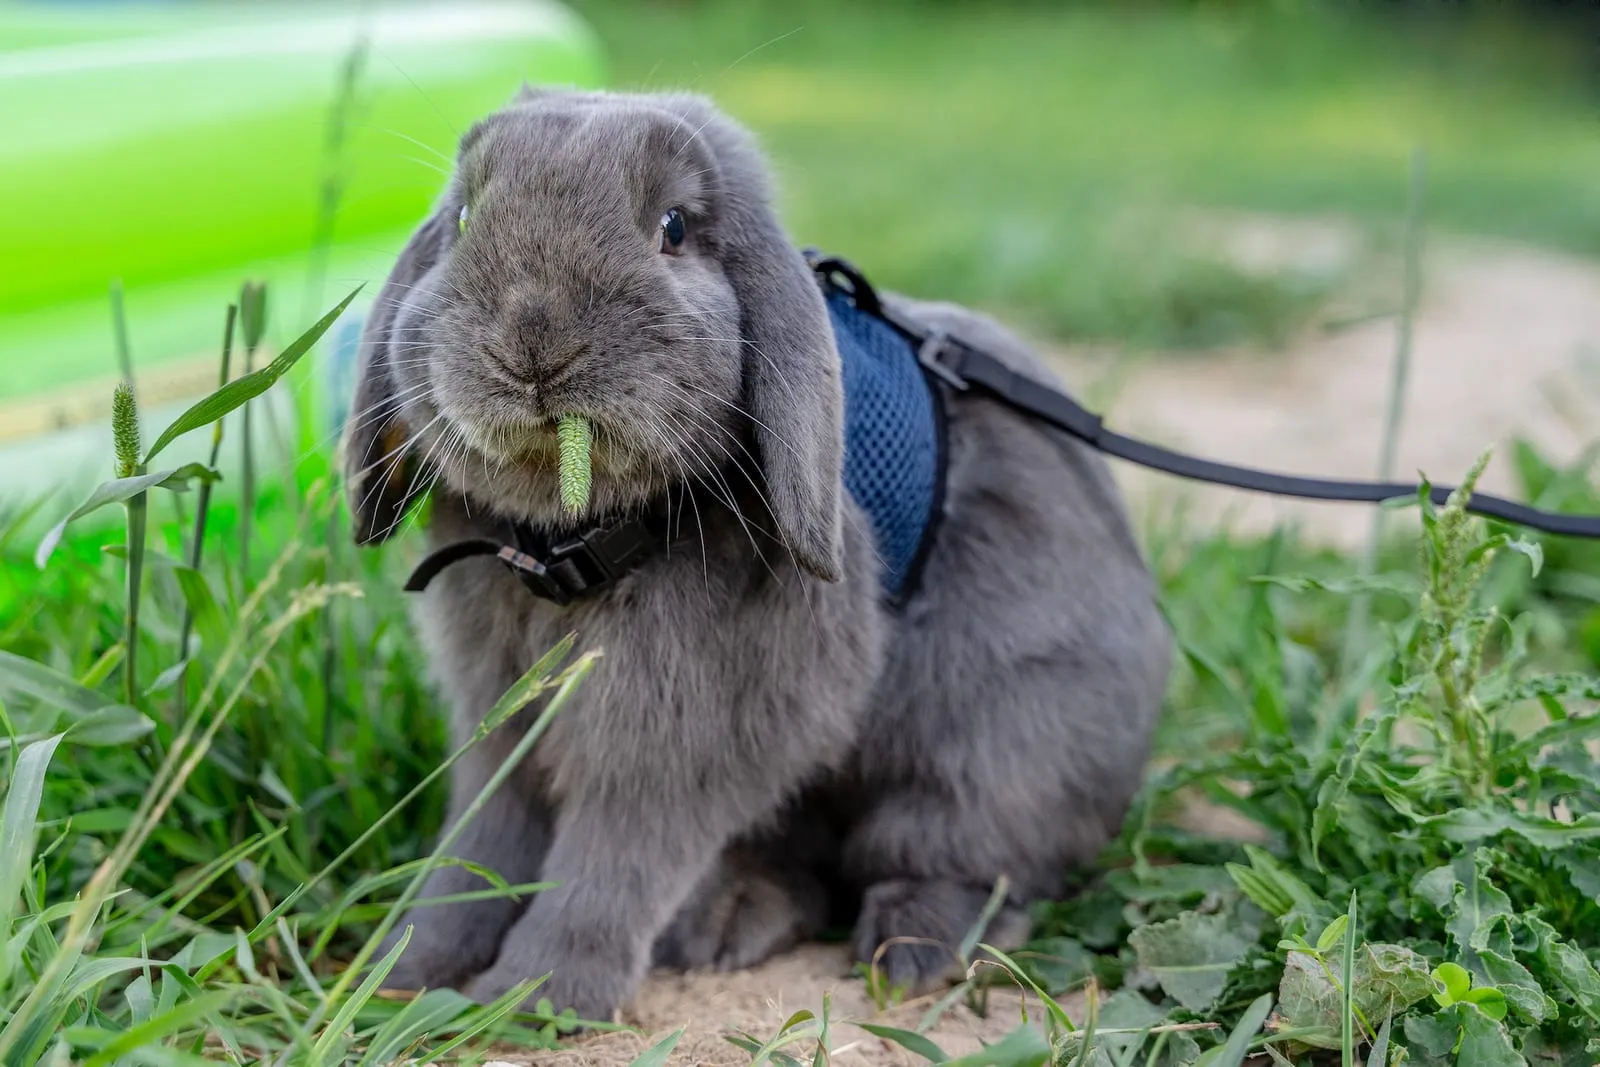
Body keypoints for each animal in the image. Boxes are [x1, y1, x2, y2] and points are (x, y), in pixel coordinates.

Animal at [342, 85, 1172, 1022]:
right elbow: (478, 848)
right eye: (465, 217)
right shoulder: (501, 717)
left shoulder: (684, 735)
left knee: (961, 858)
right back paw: (728, 923)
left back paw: (909, 951)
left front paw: (538, 996)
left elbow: (612, 858)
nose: (533, 339)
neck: (571, 545)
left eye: (673, 227)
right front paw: (400, 970)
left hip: (998, 745)